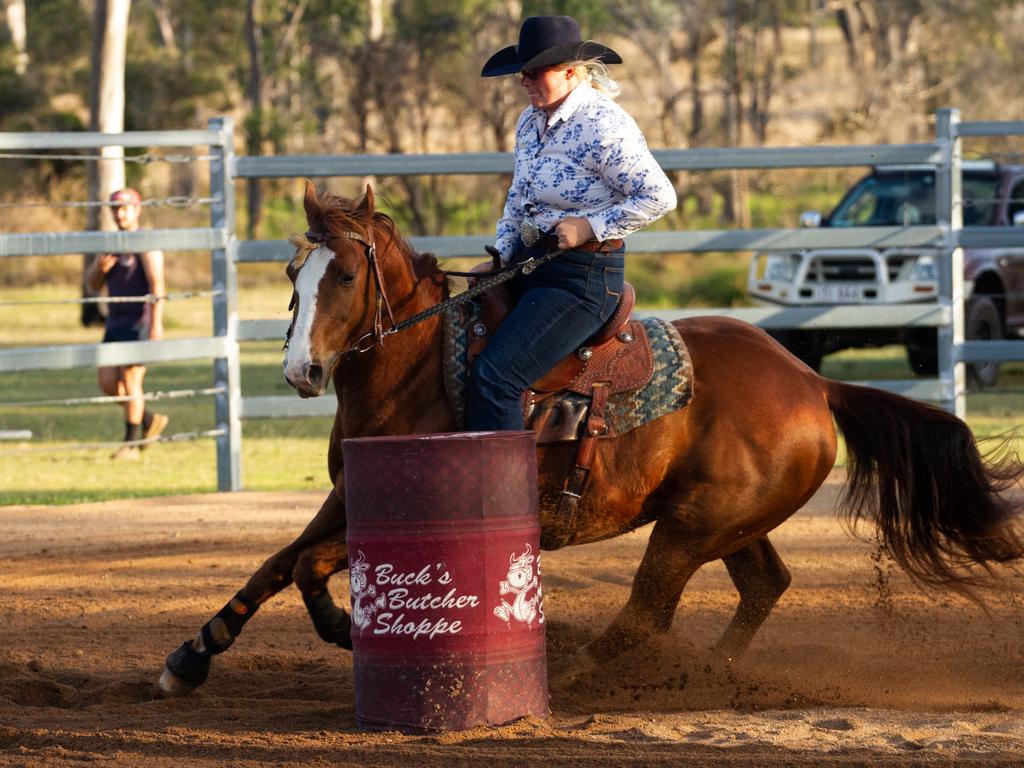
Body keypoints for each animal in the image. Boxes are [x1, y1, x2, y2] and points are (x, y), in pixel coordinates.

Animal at [157, 185, 1024, 696]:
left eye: (342, 277)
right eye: (294, 275)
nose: (301, 370)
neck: (422, 366)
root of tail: (812, 384)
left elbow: (310, 565)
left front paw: (344, 629)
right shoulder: (345, 495)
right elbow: (276, 562)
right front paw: (192, 655)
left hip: (690, 529)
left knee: (646, 614)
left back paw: (574, 672)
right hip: (728, 522)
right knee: (764, 586)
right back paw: (709, 677)